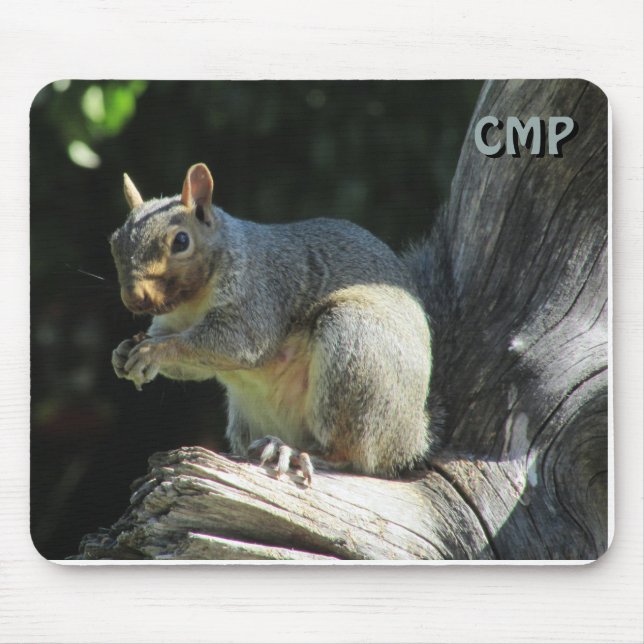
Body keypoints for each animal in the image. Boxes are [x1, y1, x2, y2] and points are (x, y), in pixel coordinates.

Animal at [110, 163, 435, 485]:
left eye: (181, 241)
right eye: (114, 242)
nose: (133, 298)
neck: (193, 303)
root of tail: (413, 439)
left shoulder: (259, 297)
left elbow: (236, 344)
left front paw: (153, 351)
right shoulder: (171, 322)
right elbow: (190, 365)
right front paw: (123, 351)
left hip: (356, 350)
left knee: (350, 454)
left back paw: (294, 452)